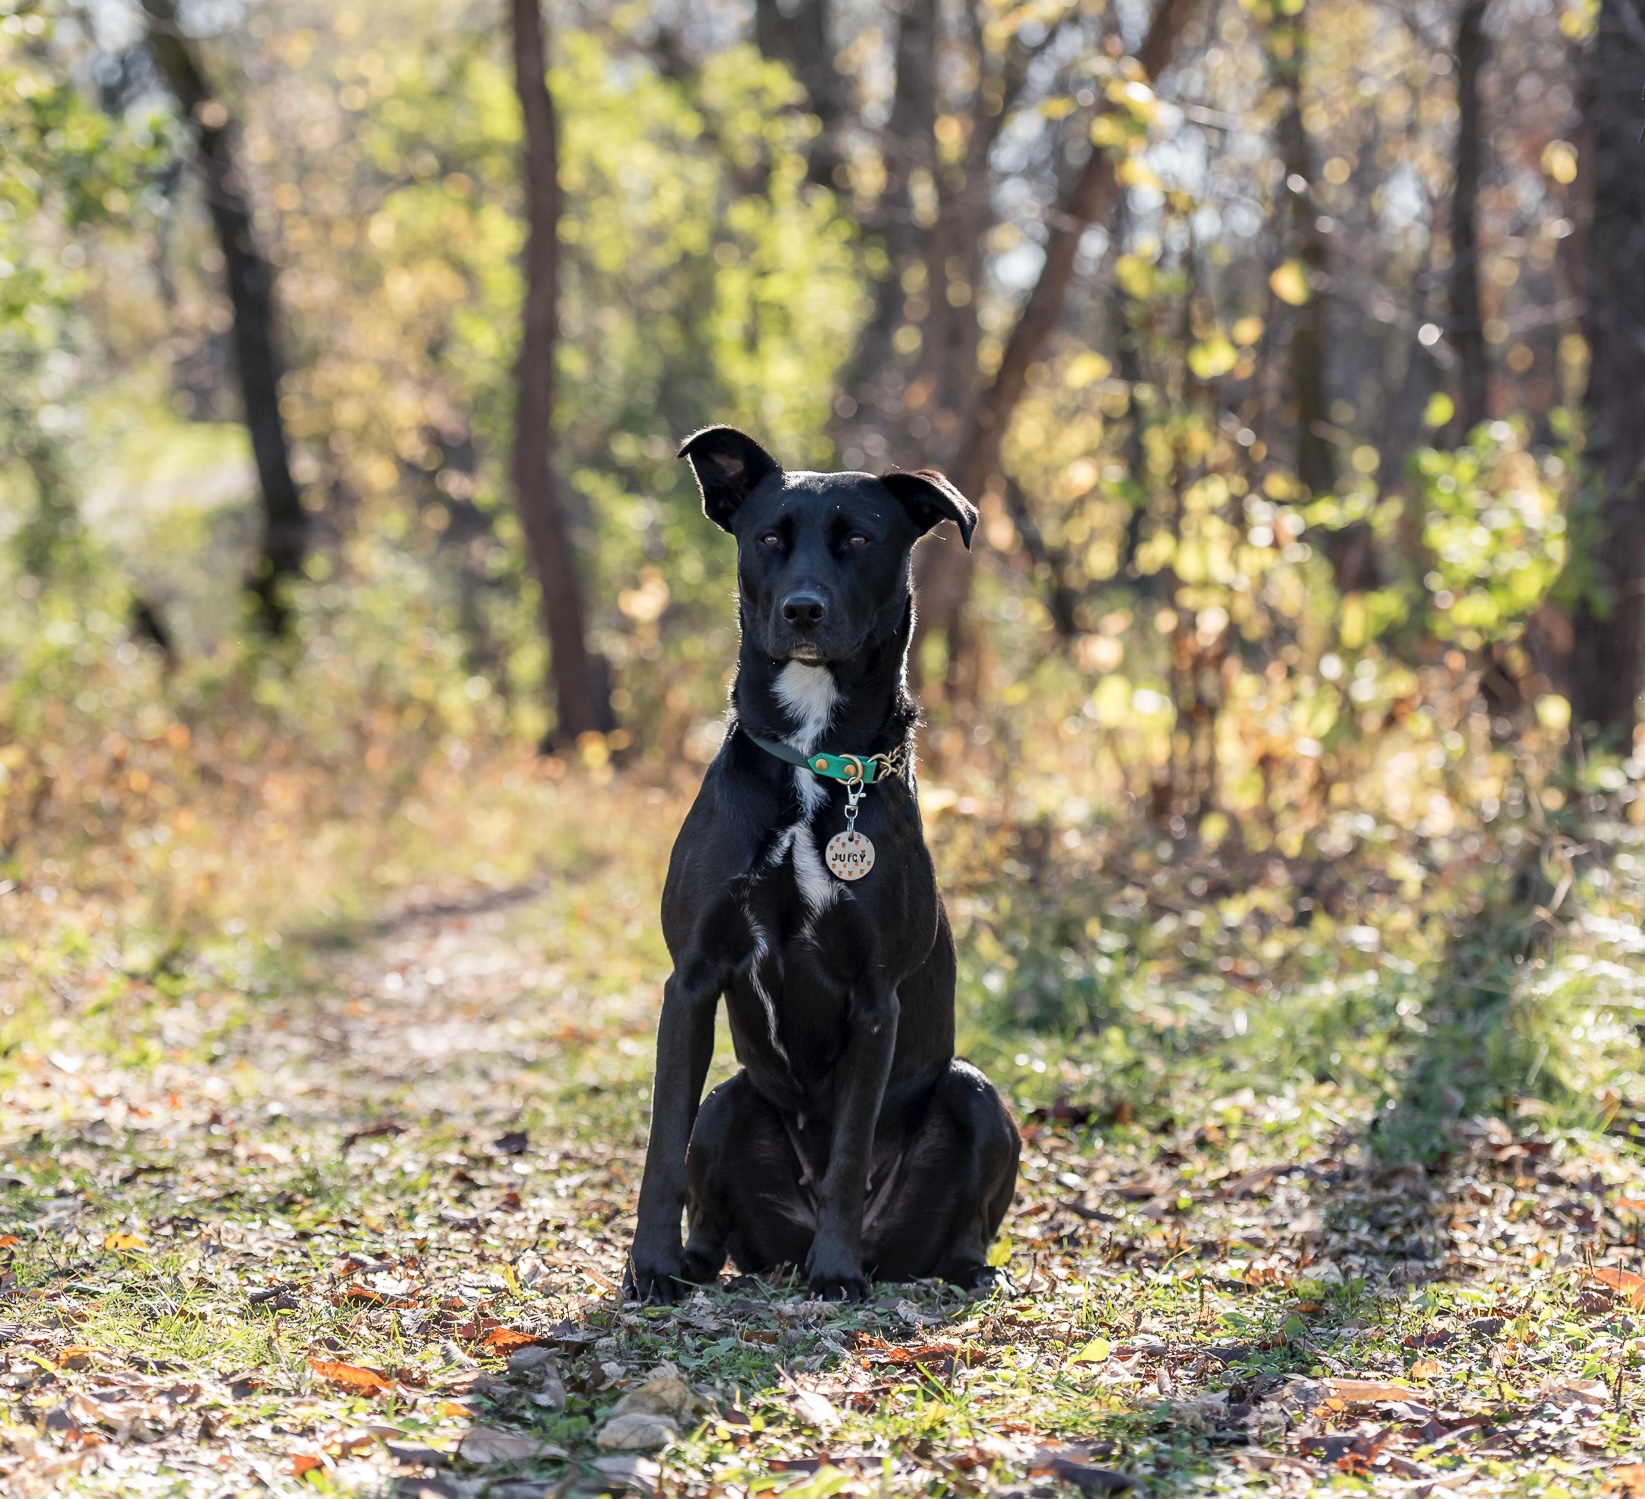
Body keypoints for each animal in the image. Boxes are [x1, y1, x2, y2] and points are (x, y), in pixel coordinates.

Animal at [622, 426, 1020, 1303]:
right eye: (769, 537)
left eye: (859, 540)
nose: (802, 609)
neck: (814, 762)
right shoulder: (691, 978)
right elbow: (661, 1148)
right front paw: (648, 1268)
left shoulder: (875, 997)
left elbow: (846, 1153)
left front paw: (835, 1272)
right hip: (728, 1102)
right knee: (712, 1207)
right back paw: (696, 1264)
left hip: (975, 1091)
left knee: (961, 1212)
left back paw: (946, 1267)